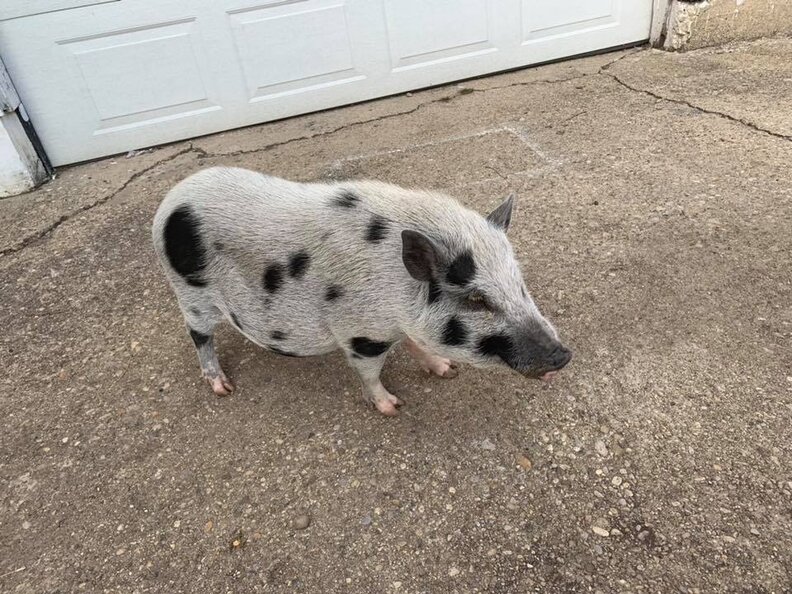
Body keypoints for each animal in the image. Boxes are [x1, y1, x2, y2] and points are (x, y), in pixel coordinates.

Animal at [151, 167, 571, 415]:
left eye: (519, 283)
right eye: (476, 299)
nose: (563, 355)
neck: (397, 296)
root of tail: (169, 201)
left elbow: (418, 345)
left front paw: (447, 370)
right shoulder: (361, 334)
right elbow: (369, 373)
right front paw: (392, 407)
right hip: (191, 294)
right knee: (198, 336)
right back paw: (223, 388)